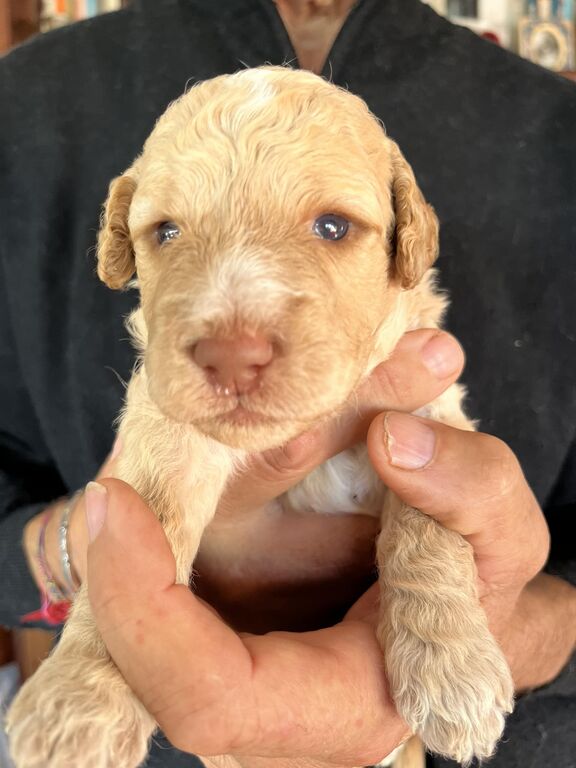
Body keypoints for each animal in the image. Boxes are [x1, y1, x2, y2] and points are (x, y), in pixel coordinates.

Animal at [5, 67, 512, 768]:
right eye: (167, 232)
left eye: (333, 227)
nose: (232, 357)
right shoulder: (167, 424)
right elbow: (147, 521)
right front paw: (78, 700)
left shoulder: (424, 414)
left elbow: (426, 524)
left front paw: (452, 668)